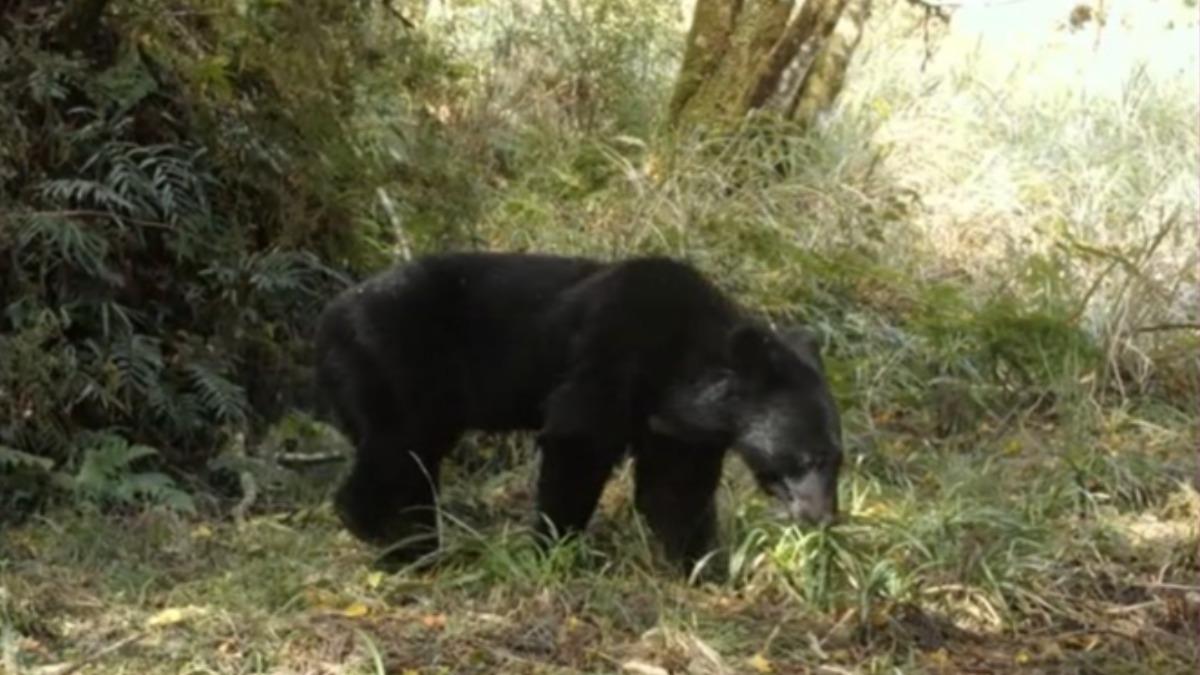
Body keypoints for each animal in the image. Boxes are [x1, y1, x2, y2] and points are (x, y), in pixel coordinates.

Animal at [314, 251, 843, 572]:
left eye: (837, 460)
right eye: (811, 457)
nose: (824, 518)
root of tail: (326, 321)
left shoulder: (679, 430)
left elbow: (675, 489)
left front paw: (702, 568)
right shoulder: (611, 354)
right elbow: (577, 441)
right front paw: (554, 549)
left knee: (417, 465)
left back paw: (420, 544)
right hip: (393, 365)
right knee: (395, 449)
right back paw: (384, 536)